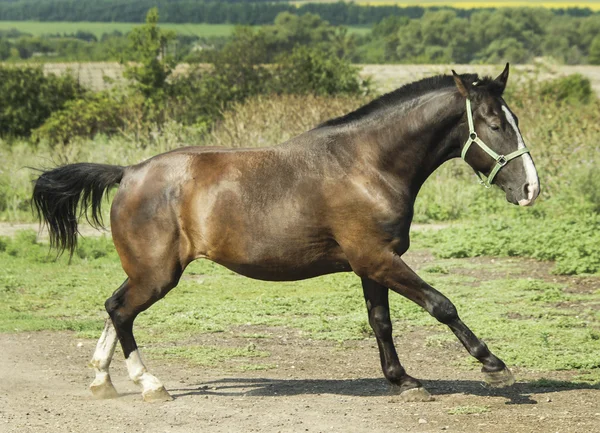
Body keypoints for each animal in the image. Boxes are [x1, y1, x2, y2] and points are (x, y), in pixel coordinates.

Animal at [31, 64, 540, 402]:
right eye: (496, 124)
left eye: (515, 120)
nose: (531, 188)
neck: (367, 165)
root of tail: (128, 173)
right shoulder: (378, 259)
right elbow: (441, 304)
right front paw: (495, 366)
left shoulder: (371, 264)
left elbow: (381, 322)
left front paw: (404, 380)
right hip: (157, 274)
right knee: (122, 311)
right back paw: (149, 384)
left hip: (147, 270)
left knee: (114, 307)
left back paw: (102, 379)